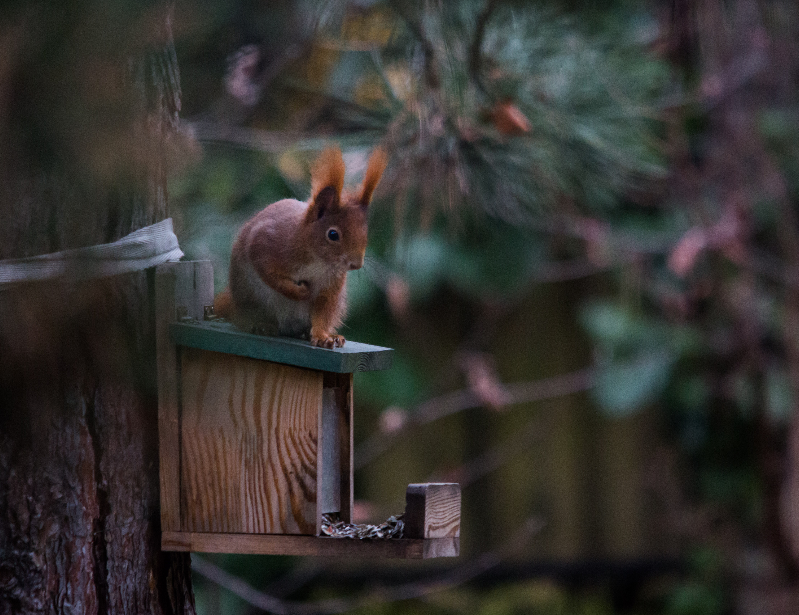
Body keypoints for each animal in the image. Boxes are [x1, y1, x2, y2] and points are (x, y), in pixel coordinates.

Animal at [212, 144, 388, 346]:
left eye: (365, 233)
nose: (356, 264)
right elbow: (270, 275)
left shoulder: (331, 285)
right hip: (251, 300)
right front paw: (300, 292)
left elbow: (322, 312)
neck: (318, 261)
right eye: (333, 234)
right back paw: (261, 325)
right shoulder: (264, 244)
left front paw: (323, 336)